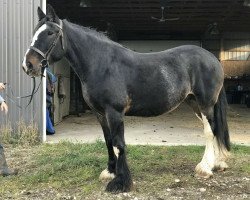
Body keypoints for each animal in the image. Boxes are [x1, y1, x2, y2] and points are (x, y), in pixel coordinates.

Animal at [22, 4, 230, 192]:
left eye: (50, 33)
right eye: (34, 32)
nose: (28, 65)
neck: (102, 64)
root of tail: (212, 58)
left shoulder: (114, 112)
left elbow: (119, 143)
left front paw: (120, 182)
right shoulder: (100, 113)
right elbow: (108, 141)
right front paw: (110, 172)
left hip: (205, 104)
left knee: (210, 131)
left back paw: (205, 168)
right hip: (194, 103)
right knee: (214, 129)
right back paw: (217, 164)